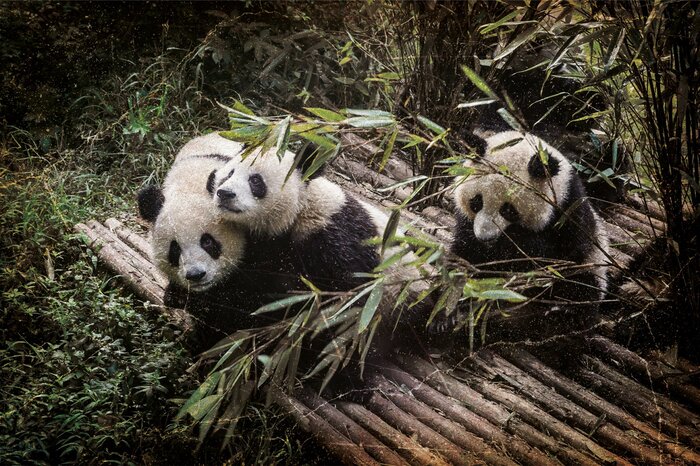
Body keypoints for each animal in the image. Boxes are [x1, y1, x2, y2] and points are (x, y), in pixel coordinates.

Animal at [451, 130, 610, 306]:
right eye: (476, 202)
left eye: (508, 210)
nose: (485, 237)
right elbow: (463, 253)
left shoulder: (570, 213)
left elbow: (552, 255)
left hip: (593, 267)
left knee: (579, 288)